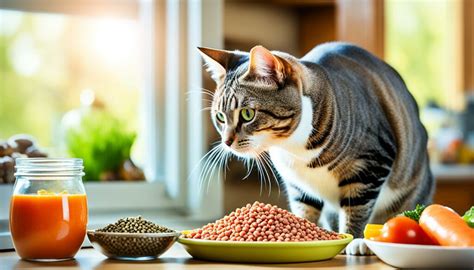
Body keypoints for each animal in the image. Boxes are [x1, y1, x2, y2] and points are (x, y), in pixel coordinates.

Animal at [198, 42, 436, 255]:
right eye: (220, 117)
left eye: (247, 114)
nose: (226, 142)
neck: (292, 148)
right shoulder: (298, 185)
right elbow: (305, 209)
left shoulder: (371, 164)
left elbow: (356, 208)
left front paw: (355, 239)